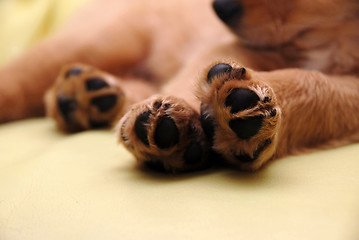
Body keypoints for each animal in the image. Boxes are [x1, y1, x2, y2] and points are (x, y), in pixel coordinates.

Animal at [0, 0, 359, 172]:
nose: (219, 7)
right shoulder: (225, 44)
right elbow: (194, 77)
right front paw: (184, 121)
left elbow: (319, 90)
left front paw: (244, 114)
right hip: (102, 38)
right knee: (21, 74)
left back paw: (86, 96)